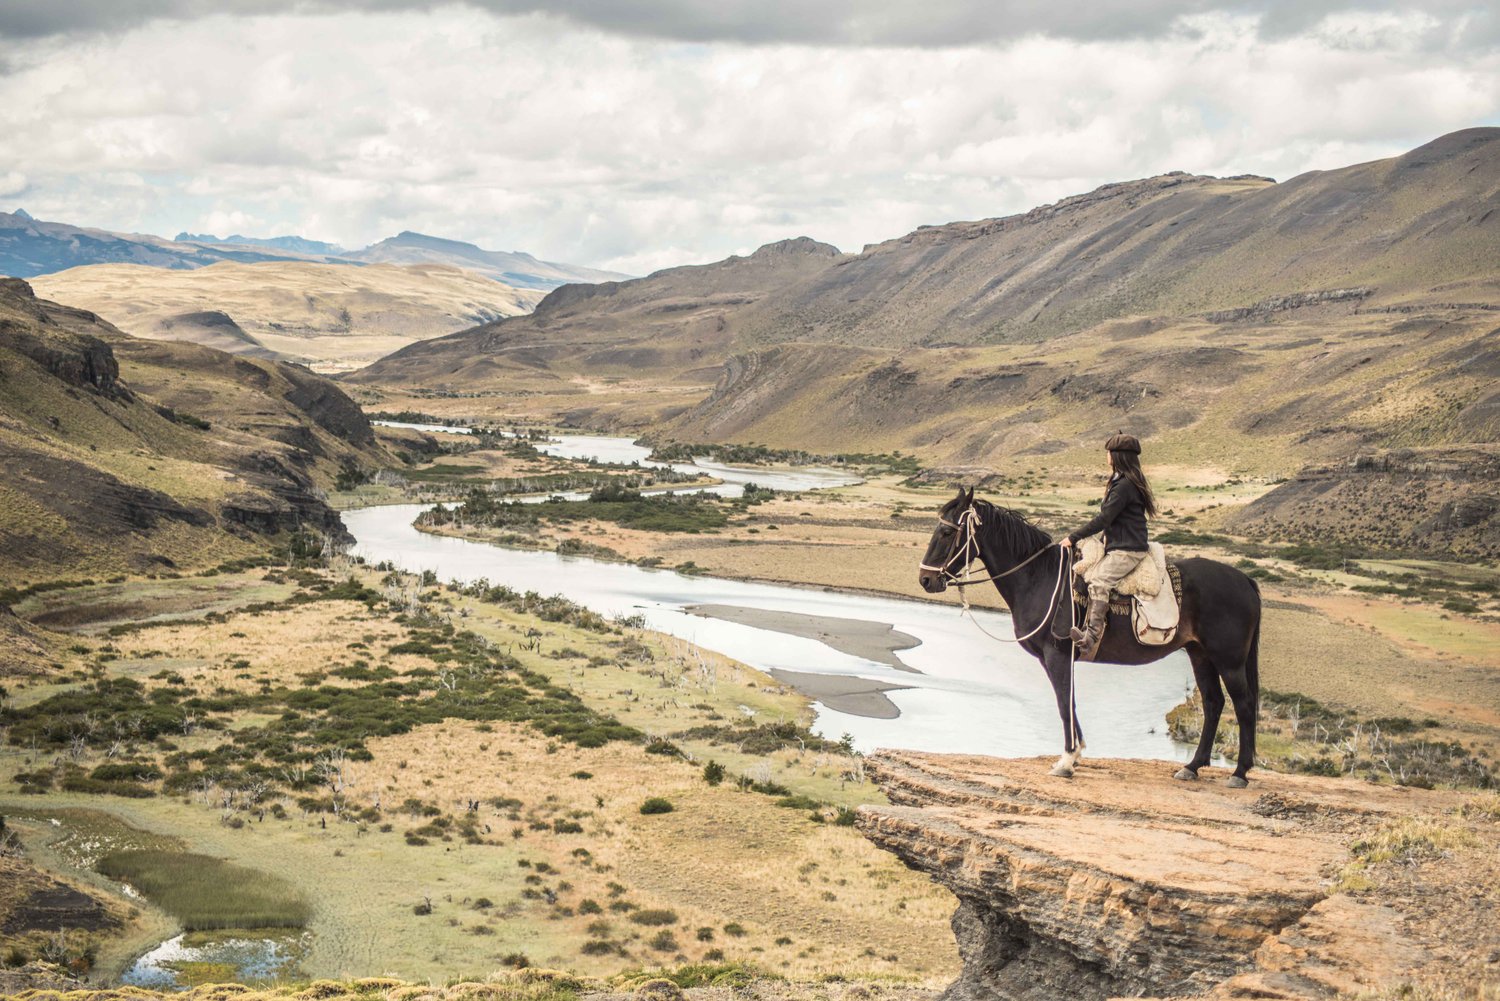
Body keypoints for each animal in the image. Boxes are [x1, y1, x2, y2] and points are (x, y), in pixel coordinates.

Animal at [918, 489, 1260, 786]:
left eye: (946, 532)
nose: (925, 579)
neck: (1039, 578)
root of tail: (1245, 579)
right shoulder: (1059, 658)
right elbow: (1068, 700)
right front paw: (1076, 754)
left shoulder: (1056, 655)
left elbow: (1063, 701)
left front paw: (1067, 759)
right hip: (1199, 654)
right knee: (1214, 703)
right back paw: (1192, 766)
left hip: (1228, 660)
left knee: (1242, 705)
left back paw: (1239, 773)